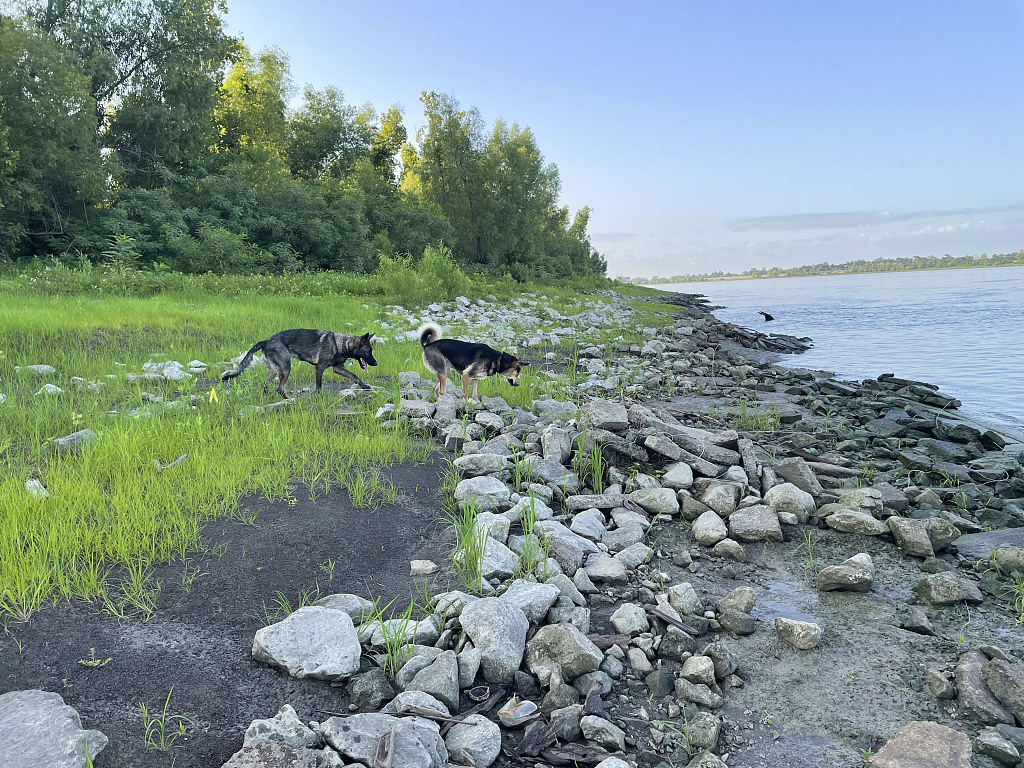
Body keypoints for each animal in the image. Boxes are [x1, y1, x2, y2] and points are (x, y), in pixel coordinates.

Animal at [222, 329, 378, 399]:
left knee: (266, 386)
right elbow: (319, 385)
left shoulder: (338, 368)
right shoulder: (320, 368)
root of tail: (266, 341)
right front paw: (319, 397)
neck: (341, 345)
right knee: (280, 388)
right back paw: (290, 400)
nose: (376, 363)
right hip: (286, 368)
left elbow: (355, 377)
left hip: (274, 370)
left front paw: (365, 386)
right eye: (368, 352)